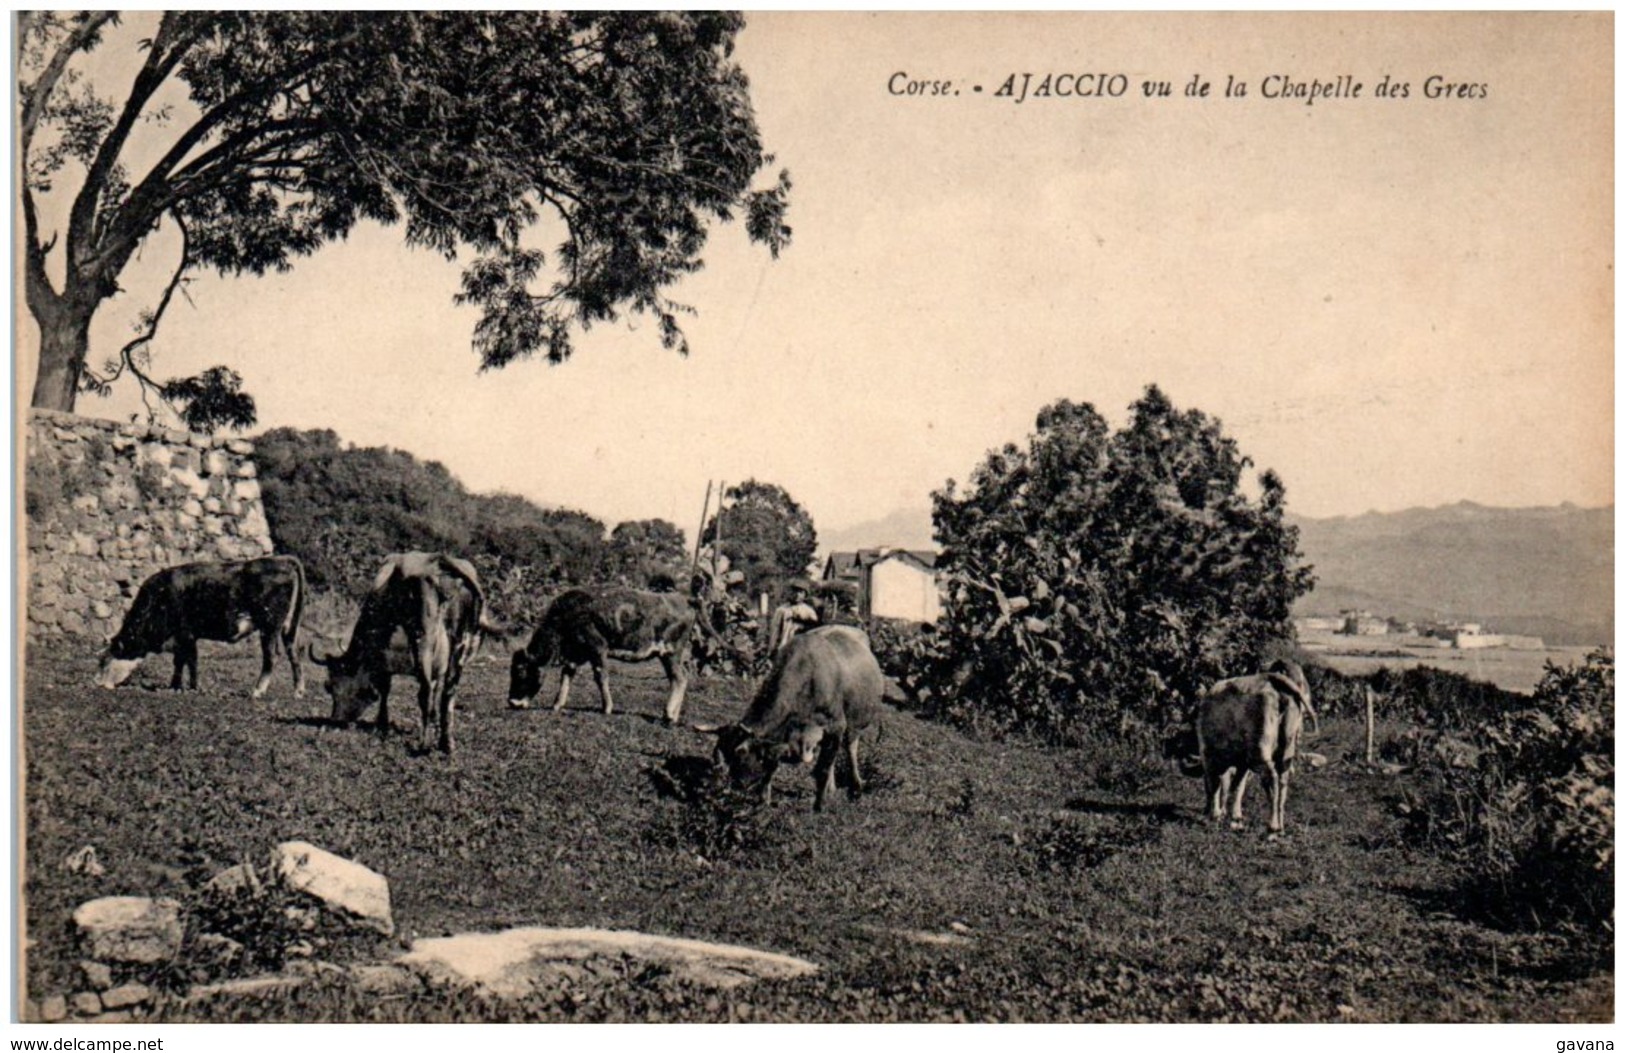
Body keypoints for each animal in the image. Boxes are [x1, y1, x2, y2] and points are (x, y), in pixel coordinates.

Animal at [95, 552, 307, 698]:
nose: (98, 683)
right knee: (294, 653)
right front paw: (179, 686)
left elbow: (188, 661)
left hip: (269, 626)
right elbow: (183, 662)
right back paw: (298, 692)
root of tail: (280, 559)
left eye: (104, 661)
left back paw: (257, 691)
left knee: (271, 656)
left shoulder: (186, 635)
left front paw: (188, 687)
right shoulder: (185, 638)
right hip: (288, 627)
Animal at [310, 555, 484, 754]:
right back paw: (446, 742)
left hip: (423, 638)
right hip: (461, 642)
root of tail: (440, 560)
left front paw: (382, 723)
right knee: (449, 692)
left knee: (425, 693)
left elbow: (385, 688)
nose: (335, 720)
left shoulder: (382, 656)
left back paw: (424, 743)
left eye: (329, 686)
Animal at [503, 585, 689, 724]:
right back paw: (674, 715)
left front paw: (606, 708)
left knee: (679, 679)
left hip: (670, 653)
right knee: (680, 678)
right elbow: (566, 676)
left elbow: (601, 677)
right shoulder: (575, 655)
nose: (512, 702)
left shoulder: (597, 649)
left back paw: (668, 714)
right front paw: (557, 705)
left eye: (520, 671)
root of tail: (683, 601)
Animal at [705, 624, 884, 815]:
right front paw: (763, 801)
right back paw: (831, 788)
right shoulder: (779, 736)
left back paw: (856, 787)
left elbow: (822, 768)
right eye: (717, 754)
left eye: (740, 753)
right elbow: (771, 766)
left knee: (850, 749)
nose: (732, 786)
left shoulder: (835, 725)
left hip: (854, 723)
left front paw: (819, 806)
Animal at [1196, 656, 1319, 838]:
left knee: (1271, 778)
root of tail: (1270, 678)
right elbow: (1236, 787)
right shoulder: (1242, 763)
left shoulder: (1209, 756)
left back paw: (1272, 826)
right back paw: (1280, 825)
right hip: (1286, 747)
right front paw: (1233, 817)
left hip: (1260, 749)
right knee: (1283, 781)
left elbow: (1215, 786)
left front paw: (1214, 815)